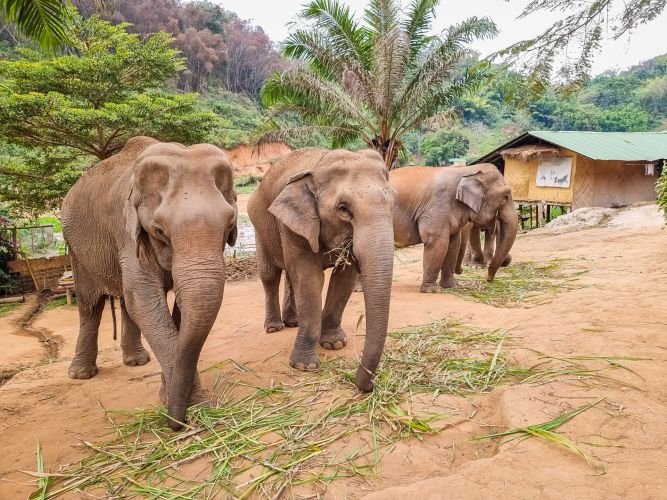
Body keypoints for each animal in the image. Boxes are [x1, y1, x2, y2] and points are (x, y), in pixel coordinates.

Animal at [61, 136, 238, 430]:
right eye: (159, 231)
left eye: (229, 226)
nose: (174, 422)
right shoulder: (126, 231)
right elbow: (143, 299)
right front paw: (191, 406)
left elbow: (174, 309)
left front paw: (175, 399)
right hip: (76, 249)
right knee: (90, 304)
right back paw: (81, 374)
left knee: (125, 302)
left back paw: (136, 361)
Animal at [247, 148, 395, 393]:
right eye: (343, 209)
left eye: (393, 203)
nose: (370, 386)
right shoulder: (293, 225)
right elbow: (309, 280)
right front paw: (305, 366)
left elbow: (343, 279)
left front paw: (334, 344)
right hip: (260, 227)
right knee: (270, 275)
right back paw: (274, 328)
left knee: (290, 276)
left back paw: (293, 323)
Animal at [391, 164, 518, 292]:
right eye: (505, 197)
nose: (488, 279)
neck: (467, 170)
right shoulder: (437, 206)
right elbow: (437, 242)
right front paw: (432, 291)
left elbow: (453, 244)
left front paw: (452, 286)